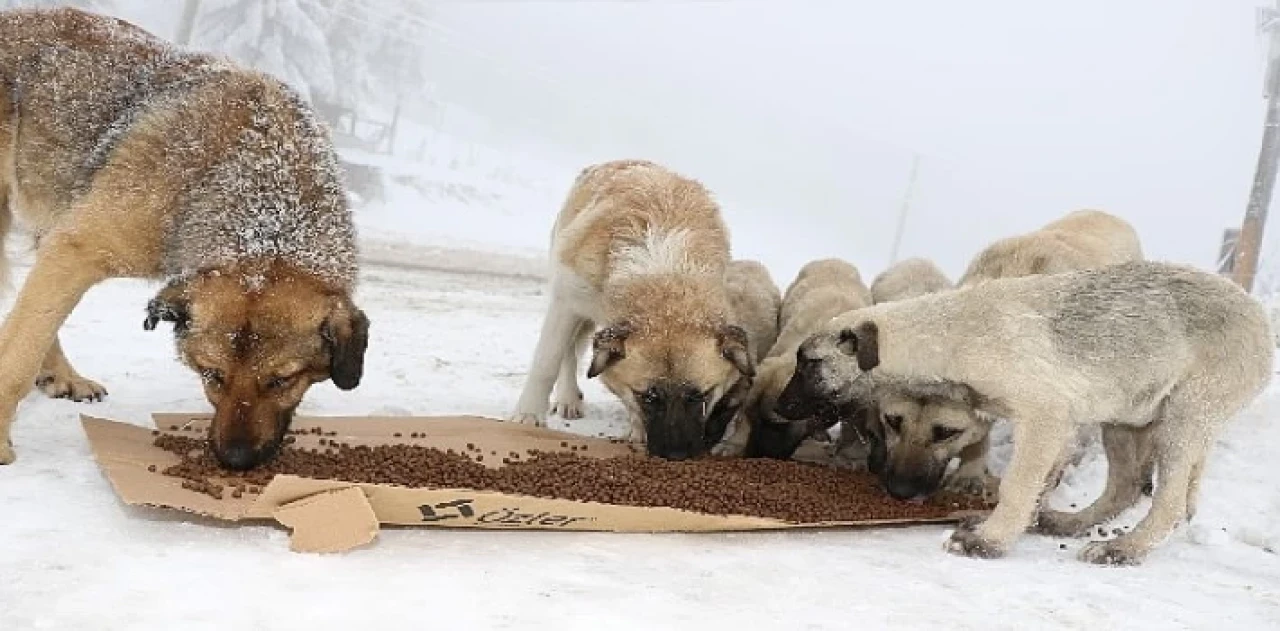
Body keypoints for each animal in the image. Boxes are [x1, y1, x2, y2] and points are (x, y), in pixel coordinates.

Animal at [506, 159, 752, 460]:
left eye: (701, 396)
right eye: (648, 397)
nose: (677, 455)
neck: (663, 271)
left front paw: (637, 428)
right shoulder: (566, 302)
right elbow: (546, 362)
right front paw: (528, 415)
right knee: (568, 352)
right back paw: (567, 398)